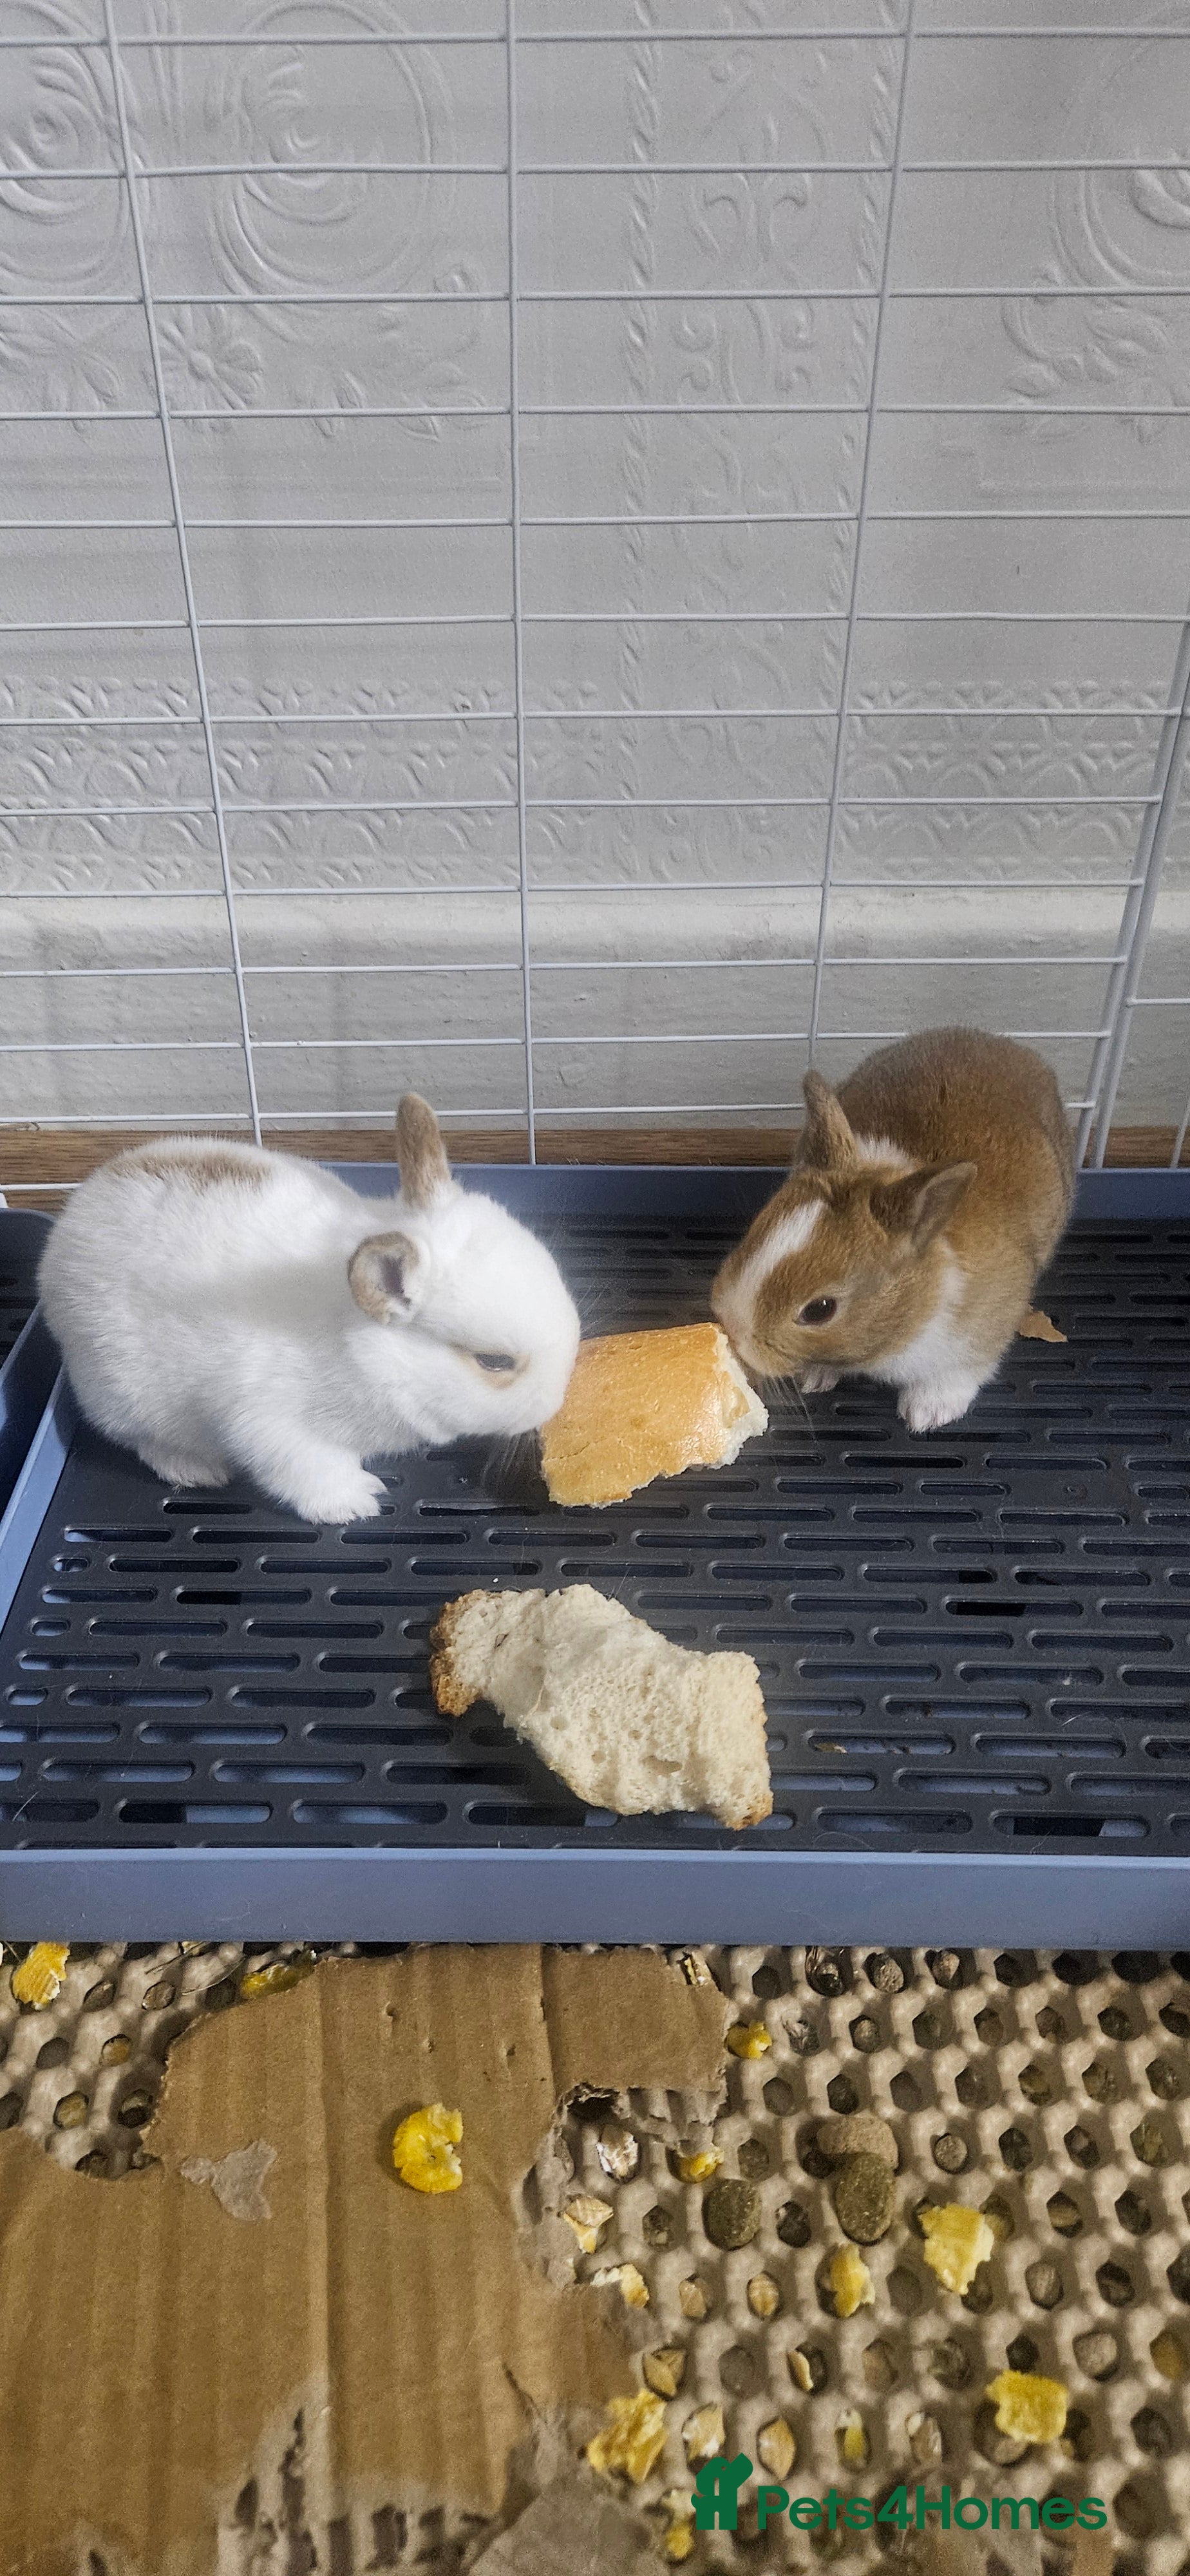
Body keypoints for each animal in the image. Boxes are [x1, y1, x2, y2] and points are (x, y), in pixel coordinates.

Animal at [37, 1095, 581, 1524]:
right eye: (494, 1362)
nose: (555, 1404)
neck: (364, 1351)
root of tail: (72, 1218)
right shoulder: (270, 1424)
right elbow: (311, 1470)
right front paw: (358, 1502)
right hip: (121, 1394)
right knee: (140, 1439)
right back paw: (194, 1469)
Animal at [711, 1027, 1075, 1433]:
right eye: (754, 1233)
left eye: (820, 1310)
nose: (733, 1328)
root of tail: (1000, 1041)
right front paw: (814, 1377)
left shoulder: (981, 1331)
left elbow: (962, 1371)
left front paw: (927, 1413)